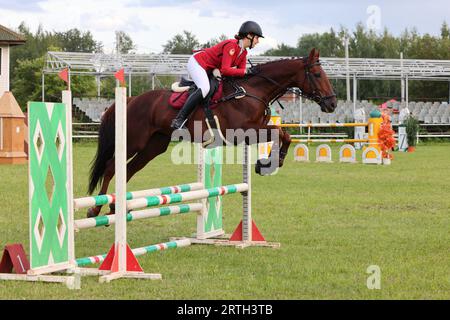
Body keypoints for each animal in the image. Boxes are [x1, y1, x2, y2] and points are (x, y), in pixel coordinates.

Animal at [86, 47, 336, 218]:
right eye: (316, 74)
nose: (332, 104)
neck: (252, 90)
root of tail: (130, 99)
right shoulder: (242, 131)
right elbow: (279, 133)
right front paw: (268, 163)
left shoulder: (252, 131)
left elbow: (284, 135)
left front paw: (269, 163)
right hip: (133, 141)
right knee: (111, 167)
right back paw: (95, 209)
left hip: (153, 146)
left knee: (128, 170)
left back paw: (115, 207)